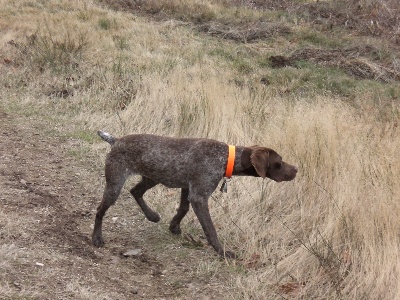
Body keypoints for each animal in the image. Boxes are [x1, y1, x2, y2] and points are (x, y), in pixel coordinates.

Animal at [91, 131, 296, 258]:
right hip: (115, 184)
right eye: (279, 163)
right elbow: (210, 230)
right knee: (100, 210)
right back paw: (97, 238)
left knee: (135, 191)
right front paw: (223, 252)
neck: (226, 158)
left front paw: (174, 227)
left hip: (153, 177)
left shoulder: (187, 188)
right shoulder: (199, 196)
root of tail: (116, 140)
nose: (296, 170)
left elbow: (183, 209)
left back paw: (152, 216)